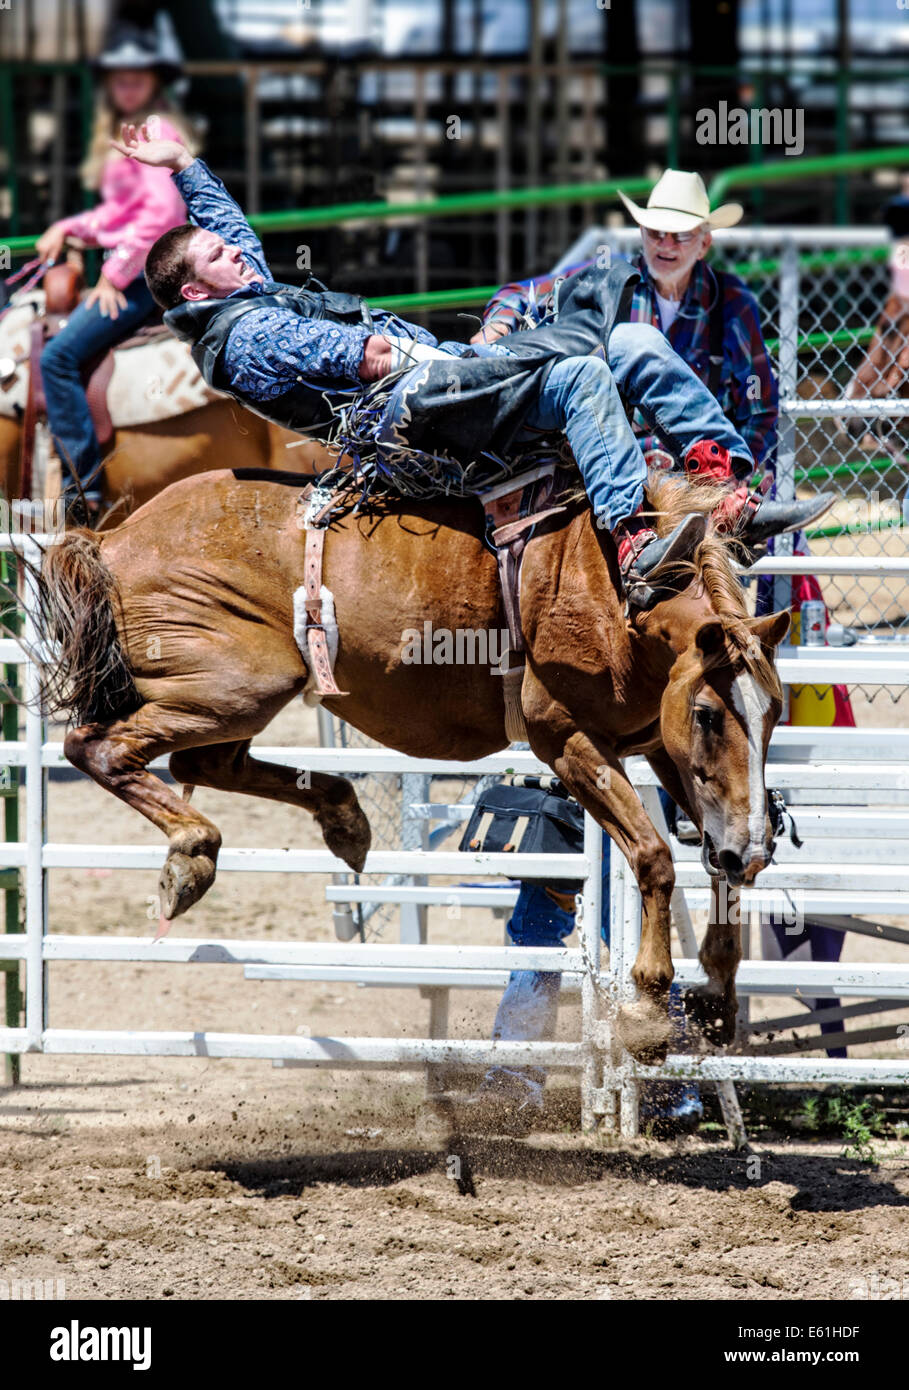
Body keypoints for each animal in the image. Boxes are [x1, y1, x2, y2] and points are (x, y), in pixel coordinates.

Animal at [32, 468, 790, 1065]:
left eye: (774, 711)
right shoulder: (569, 739)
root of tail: (113, 538)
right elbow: (654, 856)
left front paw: (719, 992)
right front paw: (648, 1013)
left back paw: (343, 818)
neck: (618, 595)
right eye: (708, 714)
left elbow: (714, 852)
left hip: (239, 692)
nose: (756, 847)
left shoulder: (656, 744)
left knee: (203, 758)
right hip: (236, 682)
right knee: (100, 748)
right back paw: (191, 856)